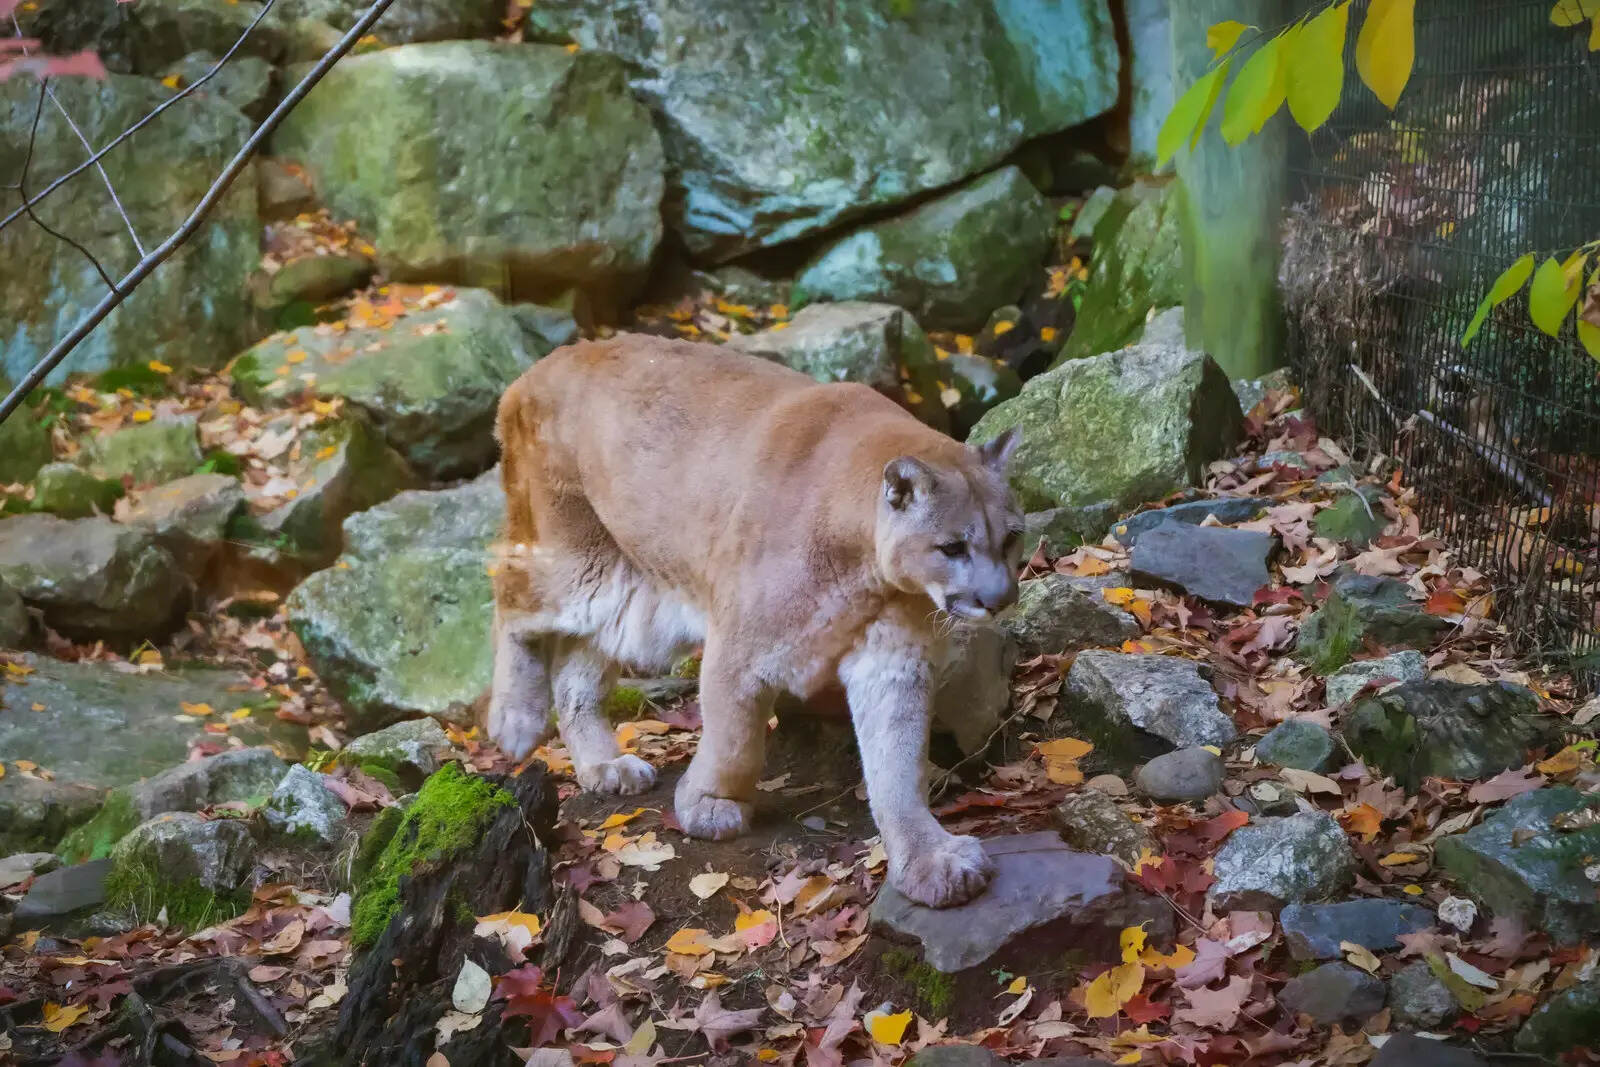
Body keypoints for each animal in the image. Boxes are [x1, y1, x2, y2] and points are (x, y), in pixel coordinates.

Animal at [488, 335, 1023, 907]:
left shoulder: (893, 663)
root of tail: (548, 362)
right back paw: (515, 721)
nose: (1000, 597)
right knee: (509, 594)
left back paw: (603, 765)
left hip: (626, 594)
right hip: (573, 562)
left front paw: (927, 856)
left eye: (1012, 537)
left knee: (577, 669)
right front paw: (710, 803)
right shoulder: (740, 648)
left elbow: (898, 763)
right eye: (952, 547)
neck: (868, 572)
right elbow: (735, 738)